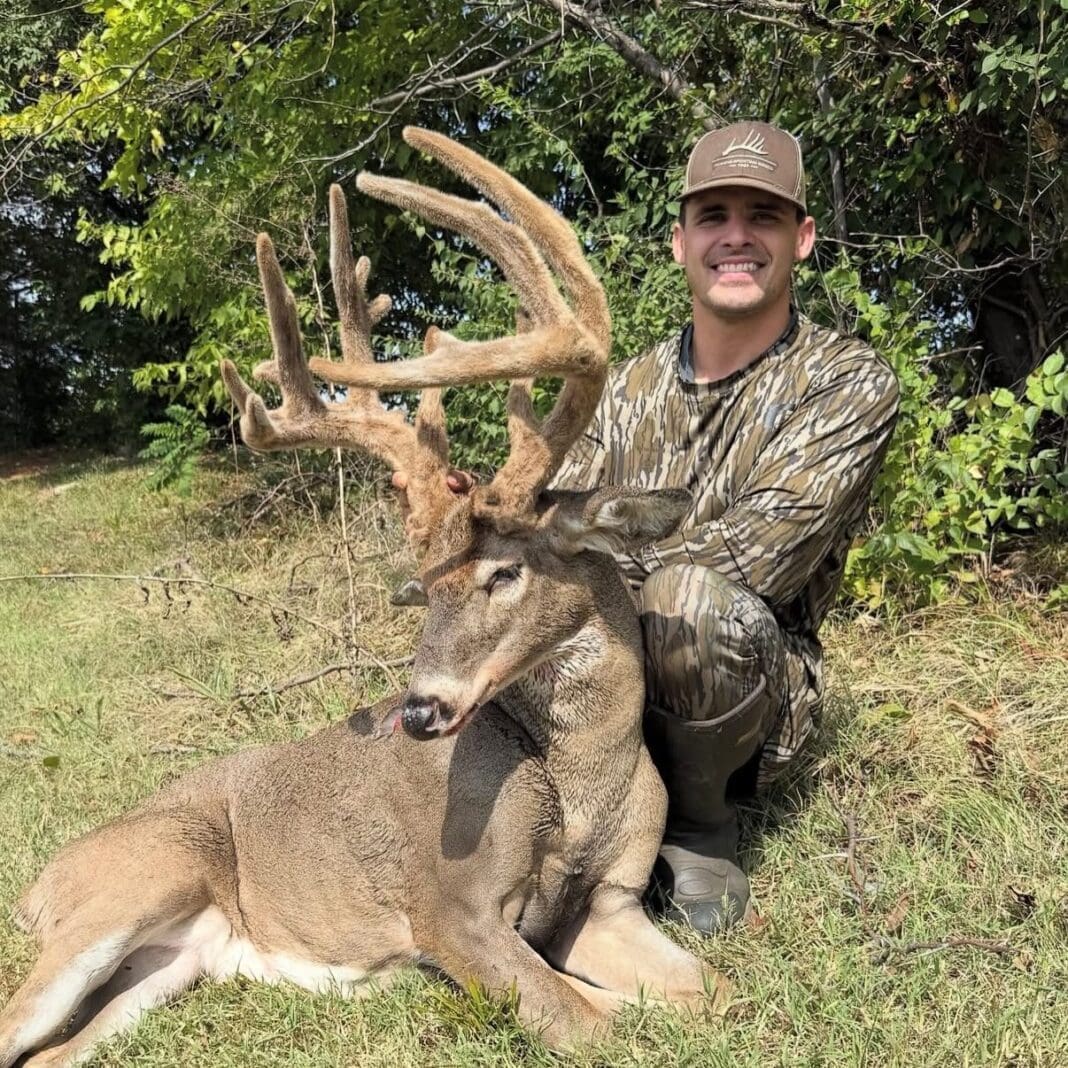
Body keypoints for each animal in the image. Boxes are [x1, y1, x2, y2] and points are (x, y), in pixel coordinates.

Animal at [0, 128, 725, 1068]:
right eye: (423, 588)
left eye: (504, 572)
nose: (417, 714)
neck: (580, 787)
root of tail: (36, 887)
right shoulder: (449, 907)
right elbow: (597, 1026)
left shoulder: (609, 904)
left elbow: (706, 996)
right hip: (133, 883)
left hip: (166, 966)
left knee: (49, 1051)